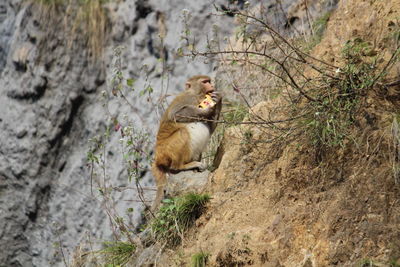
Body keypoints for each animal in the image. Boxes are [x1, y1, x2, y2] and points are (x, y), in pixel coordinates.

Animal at [152, 75, 223, 211]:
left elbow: (210, 128)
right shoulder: (188, 98)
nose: (211, 85)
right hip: (166, 151)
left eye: (209, 81)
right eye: (205, 82)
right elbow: (176, 114)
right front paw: (206, 111)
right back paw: (181, 166)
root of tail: (157, 158)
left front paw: (218, 100)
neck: (198, 94)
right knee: (182, 132)